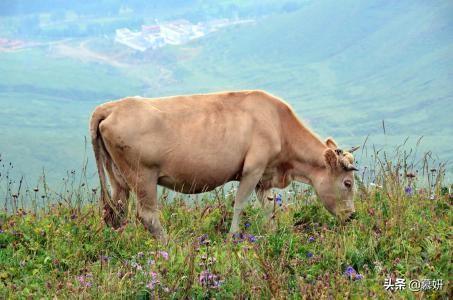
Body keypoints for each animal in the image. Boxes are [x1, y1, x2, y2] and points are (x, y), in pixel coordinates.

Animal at [88, 90, 356, 243]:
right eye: (347, 183)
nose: (353, 215)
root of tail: (110, 107)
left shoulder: (264, 176)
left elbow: (269, 207)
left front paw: (274, 232)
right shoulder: (253, 168)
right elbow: (239, 204)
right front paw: (233, 236)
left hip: (118, 177)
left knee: (116, 212)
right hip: (142, 175)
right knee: (147, 215)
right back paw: (169, 246)